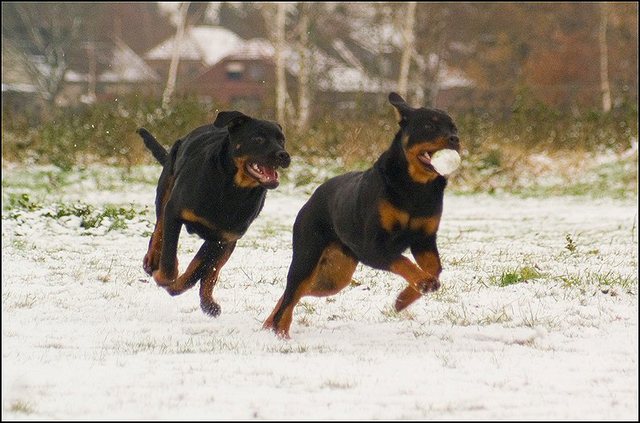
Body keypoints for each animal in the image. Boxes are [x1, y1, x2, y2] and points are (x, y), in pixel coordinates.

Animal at [141, 111, 292, 316]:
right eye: (258, 138)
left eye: (281, 140)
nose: (283, 155)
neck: (232, 189)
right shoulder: (174, 211)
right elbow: (169, 260)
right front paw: (163, 277)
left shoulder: (223, 237)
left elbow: (198, 271)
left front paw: (176, 287)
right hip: (166, 187)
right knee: (159, 227)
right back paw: (152, 260)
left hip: (229, 243)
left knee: (211, 273)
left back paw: (208, 302)